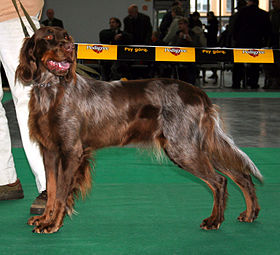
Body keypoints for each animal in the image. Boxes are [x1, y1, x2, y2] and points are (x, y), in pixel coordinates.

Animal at [16, 26, 262, 234]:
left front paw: (52, 224)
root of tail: (199, 93)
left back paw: (214, 220)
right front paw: (44, 218)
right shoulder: (49, 151)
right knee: (241, 175)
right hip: (202, 146)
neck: (51, 90)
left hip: (184, 148)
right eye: (49, 37)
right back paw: (250, 213)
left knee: (219, 181)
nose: (69, 48)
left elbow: (61, 193)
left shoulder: (71, 150)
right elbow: (52, 189)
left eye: (66, 37)